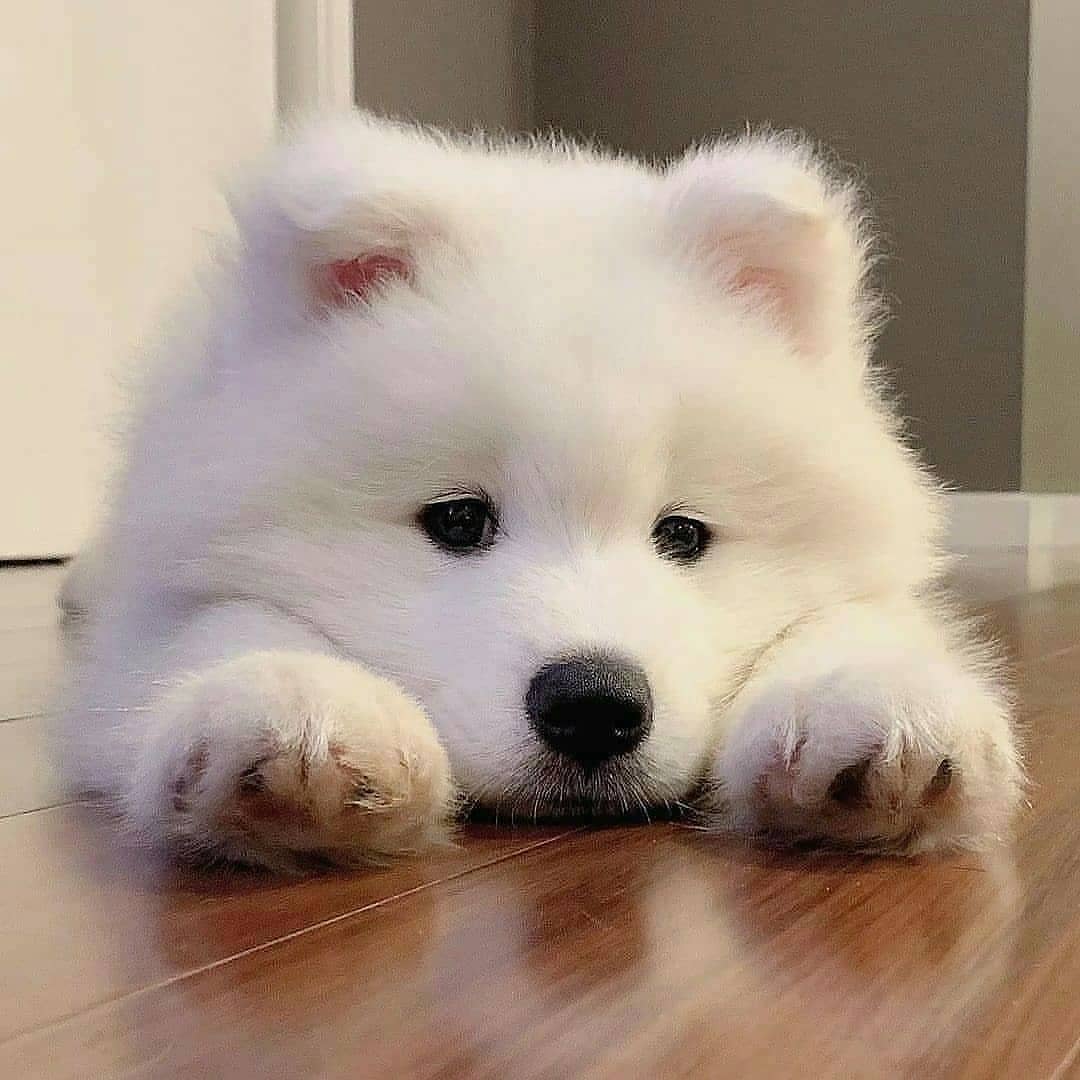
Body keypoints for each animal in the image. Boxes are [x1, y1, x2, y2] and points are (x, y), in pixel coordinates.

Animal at [59, 113, 1019, 868]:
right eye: (456, 521)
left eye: (683, 535)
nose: (593, 705)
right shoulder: (165, 603)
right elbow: (226, 626)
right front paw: (301, 710)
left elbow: (845, 623)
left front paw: (868, 708)